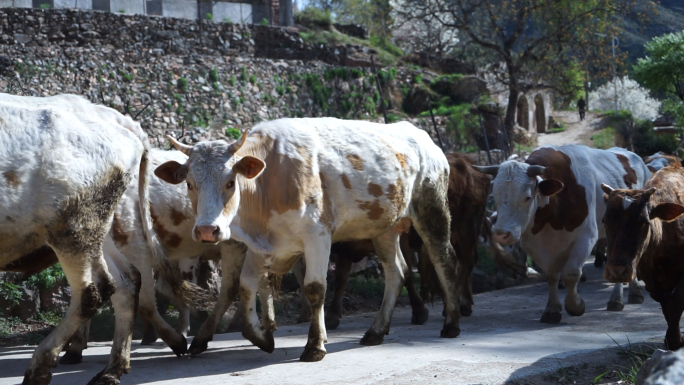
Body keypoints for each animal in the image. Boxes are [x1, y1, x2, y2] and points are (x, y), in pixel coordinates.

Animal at [0, 94, 190, 384]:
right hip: (101, 232)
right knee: (127, 282)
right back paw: (112, 368)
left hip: (75, 226)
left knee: (95, 291)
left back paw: (40, 367)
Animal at [155, 117, 462, 360]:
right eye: (189, 183)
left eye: (230, 182)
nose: (208, 230)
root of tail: (419, 135)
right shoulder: (261, 246)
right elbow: (245, 286)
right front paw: (262, 337)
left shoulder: (318, 236)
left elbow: (314, 288)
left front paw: (314, 346)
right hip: (384, 228)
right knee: (396, 272)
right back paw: (376, 330)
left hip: (432, 209)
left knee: (444, 260)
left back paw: (451, 323)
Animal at [472, 146, 648, 322]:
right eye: (495, 196)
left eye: (527, 197)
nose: (501, 233)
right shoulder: (536, 245)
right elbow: (551, 276)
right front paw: (552, 309)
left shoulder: (586, 238)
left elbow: (571, 274)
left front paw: (575, 306)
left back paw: (621, 298)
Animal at [600, 164, 684, 350]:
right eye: (606, 221)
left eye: (643, 223)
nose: (617, 271)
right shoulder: (656, 285)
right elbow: (667, 309)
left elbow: (675, 305)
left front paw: (675, 341)